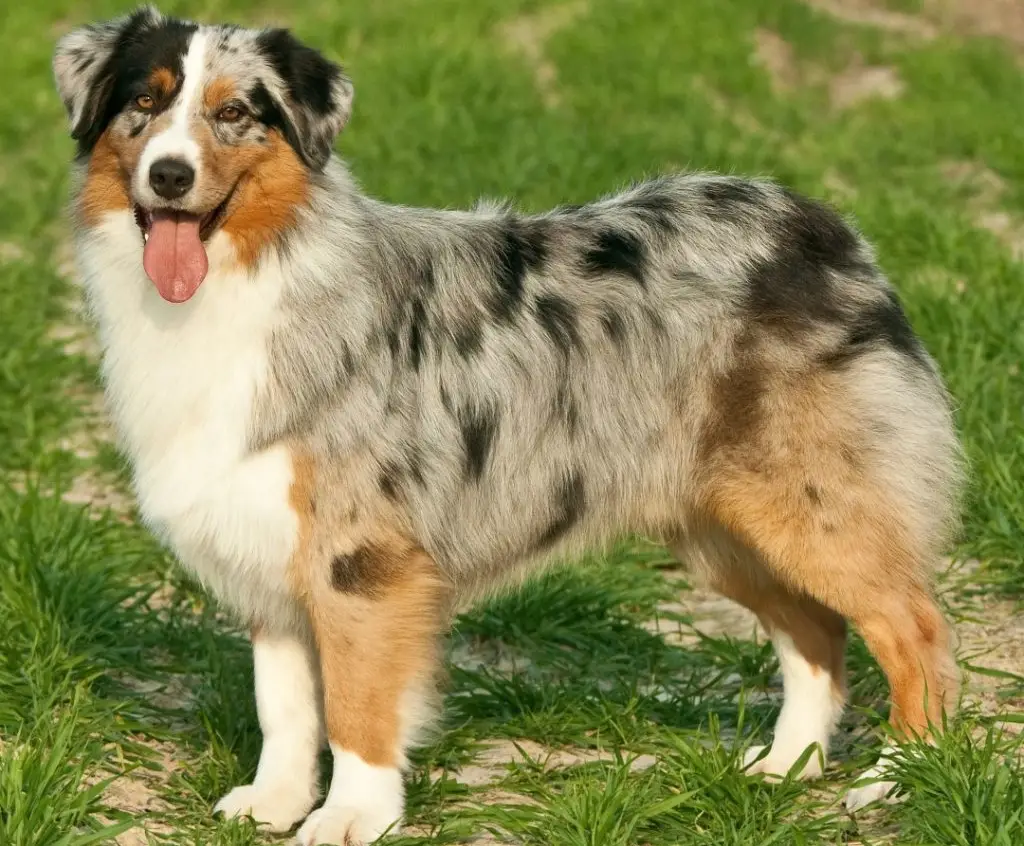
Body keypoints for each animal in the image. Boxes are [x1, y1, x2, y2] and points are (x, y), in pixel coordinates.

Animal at [54, 8, 966, 843]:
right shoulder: (268, 543)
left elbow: (355, 705)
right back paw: (786, 766)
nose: (170, 176)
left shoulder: (359, 560)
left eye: (236, 111)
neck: (251, 275)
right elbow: (285, 704)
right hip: (725, 524)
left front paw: (352, 816)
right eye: (144, 102)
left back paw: (897, 776)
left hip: (815, 507)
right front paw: (275, 802)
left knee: (914, 629)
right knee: (816, 633)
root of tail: (822, 224)